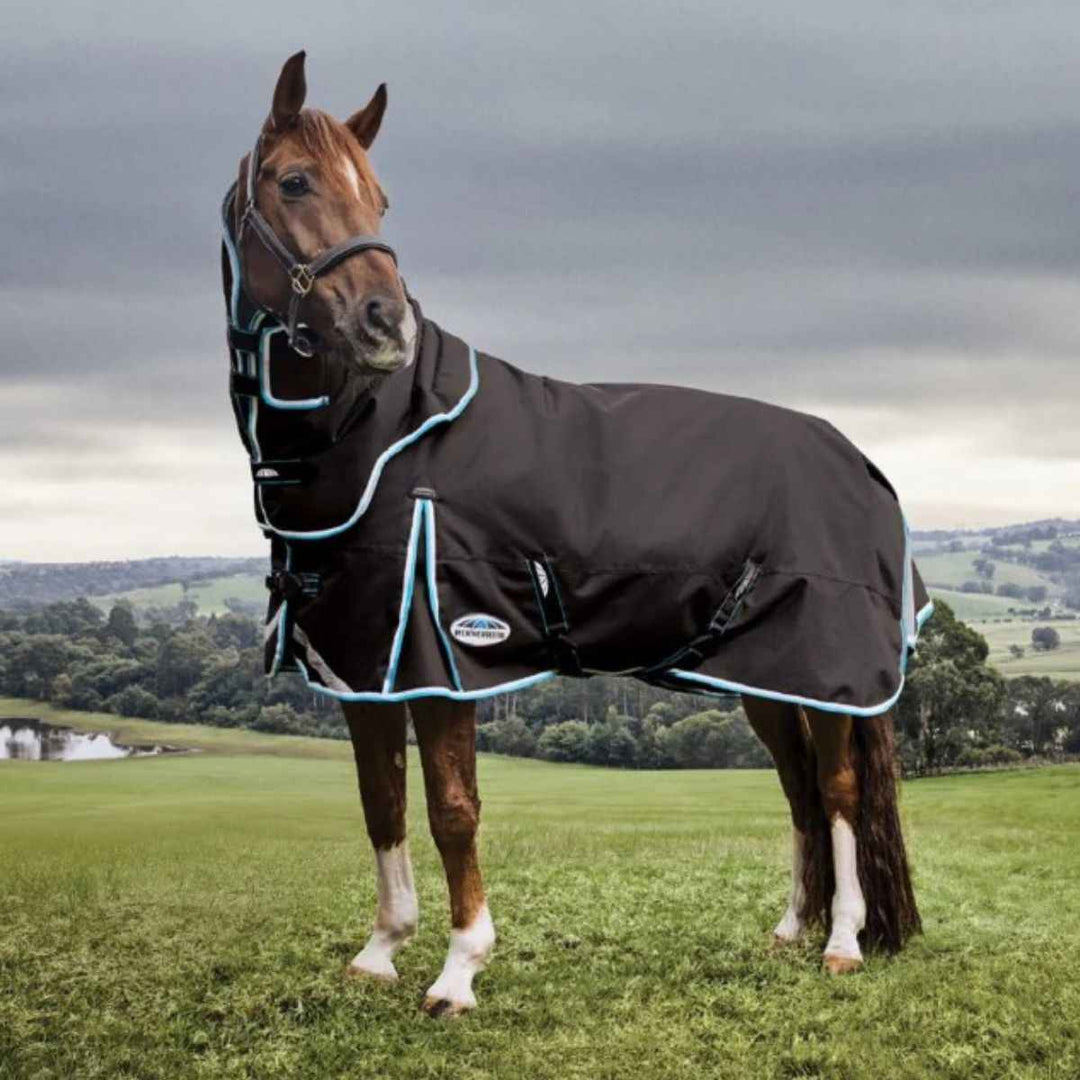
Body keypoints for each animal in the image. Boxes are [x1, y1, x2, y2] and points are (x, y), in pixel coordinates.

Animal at [224, 51, 922, 1018]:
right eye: (294, 182)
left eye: (381, 200)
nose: (386, 323)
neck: (384, 436)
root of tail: (859, 461)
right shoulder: (369, 664)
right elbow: (380, 803)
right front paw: (379, 952)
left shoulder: (448, 658)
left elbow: (451, 810)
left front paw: (459, 970)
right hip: (761, 675)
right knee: (799, 791)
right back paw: (791, 929)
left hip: (830, 677)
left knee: (841, 788)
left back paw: (844, 942)